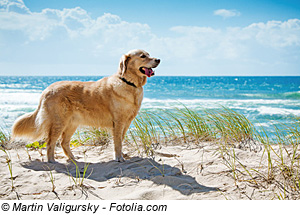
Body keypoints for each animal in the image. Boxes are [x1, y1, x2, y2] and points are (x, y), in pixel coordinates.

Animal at [12, 49, 159, 163]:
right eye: (143, 56)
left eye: (149, 54)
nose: (158, 59)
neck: (129, 83)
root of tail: (47, 89)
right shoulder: (118, 122)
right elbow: (117, 142)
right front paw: (118, 158)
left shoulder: (126, 122)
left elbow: (120, 140)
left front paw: (121, 155)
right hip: (59, 122)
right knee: (50, 143)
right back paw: (52, 161)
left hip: (72, 123)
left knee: (63, 143)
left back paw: (73, 159)